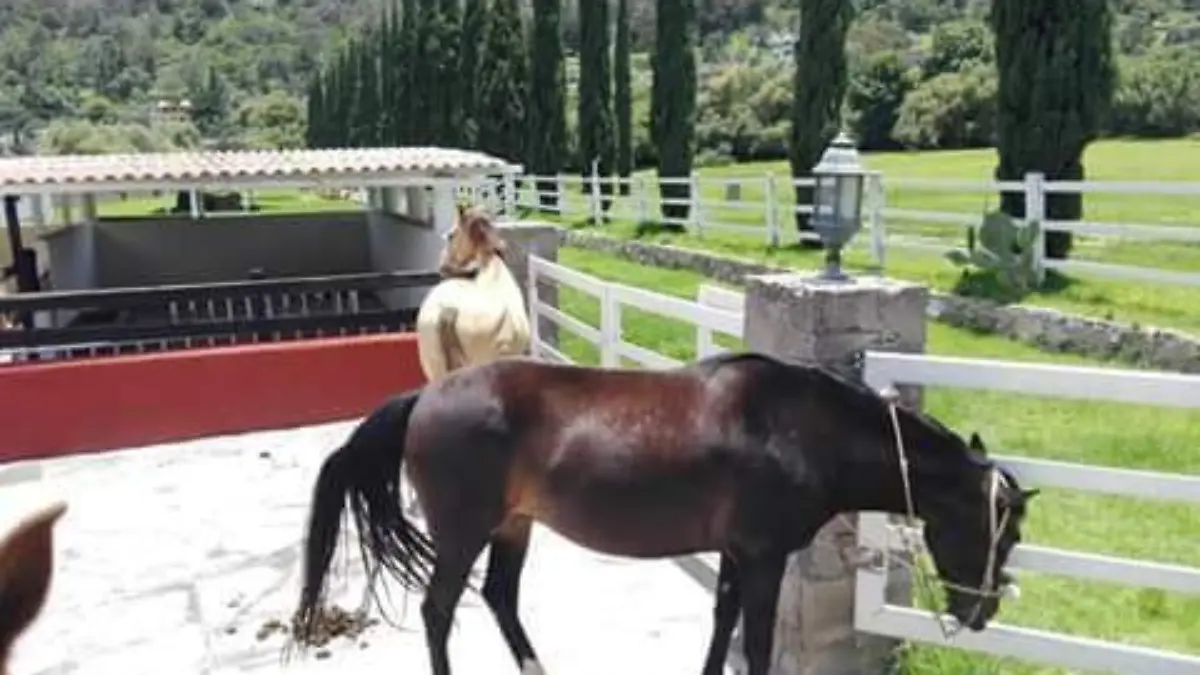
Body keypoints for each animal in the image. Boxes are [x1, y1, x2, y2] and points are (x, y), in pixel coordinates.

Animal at [292, 352, 1036, 675]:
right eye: (996, 530)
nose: (981, 612)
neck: (799, 428)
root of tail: (423, 396)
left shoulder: (738, 554)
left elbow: (721, 627)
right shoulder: (764, 557)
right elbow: (754, 644)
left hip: (513, 526)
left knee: (500, 597)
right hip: (463, 532)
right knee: (439, 611)